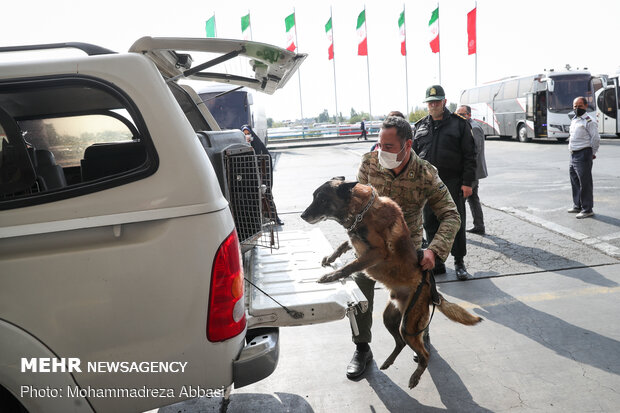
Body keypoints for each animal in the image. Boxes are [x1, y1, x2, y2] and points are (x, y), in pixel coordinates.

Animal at [302, 178, 484, 390]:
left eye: (322, 199)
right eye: (315, 197)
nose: (302, 215)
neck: (361, 211)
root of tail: (431, 290)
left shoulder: (376, 252)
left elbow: (350, 265)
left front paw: (331, 275)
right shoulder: (357, 244)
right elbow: (343, 244)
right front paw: (330, 258)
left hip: (409, 326)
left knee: (424, 353)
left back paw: (415, 377)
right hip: (389, 318)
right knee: (399, 342)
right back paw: (389, 361)